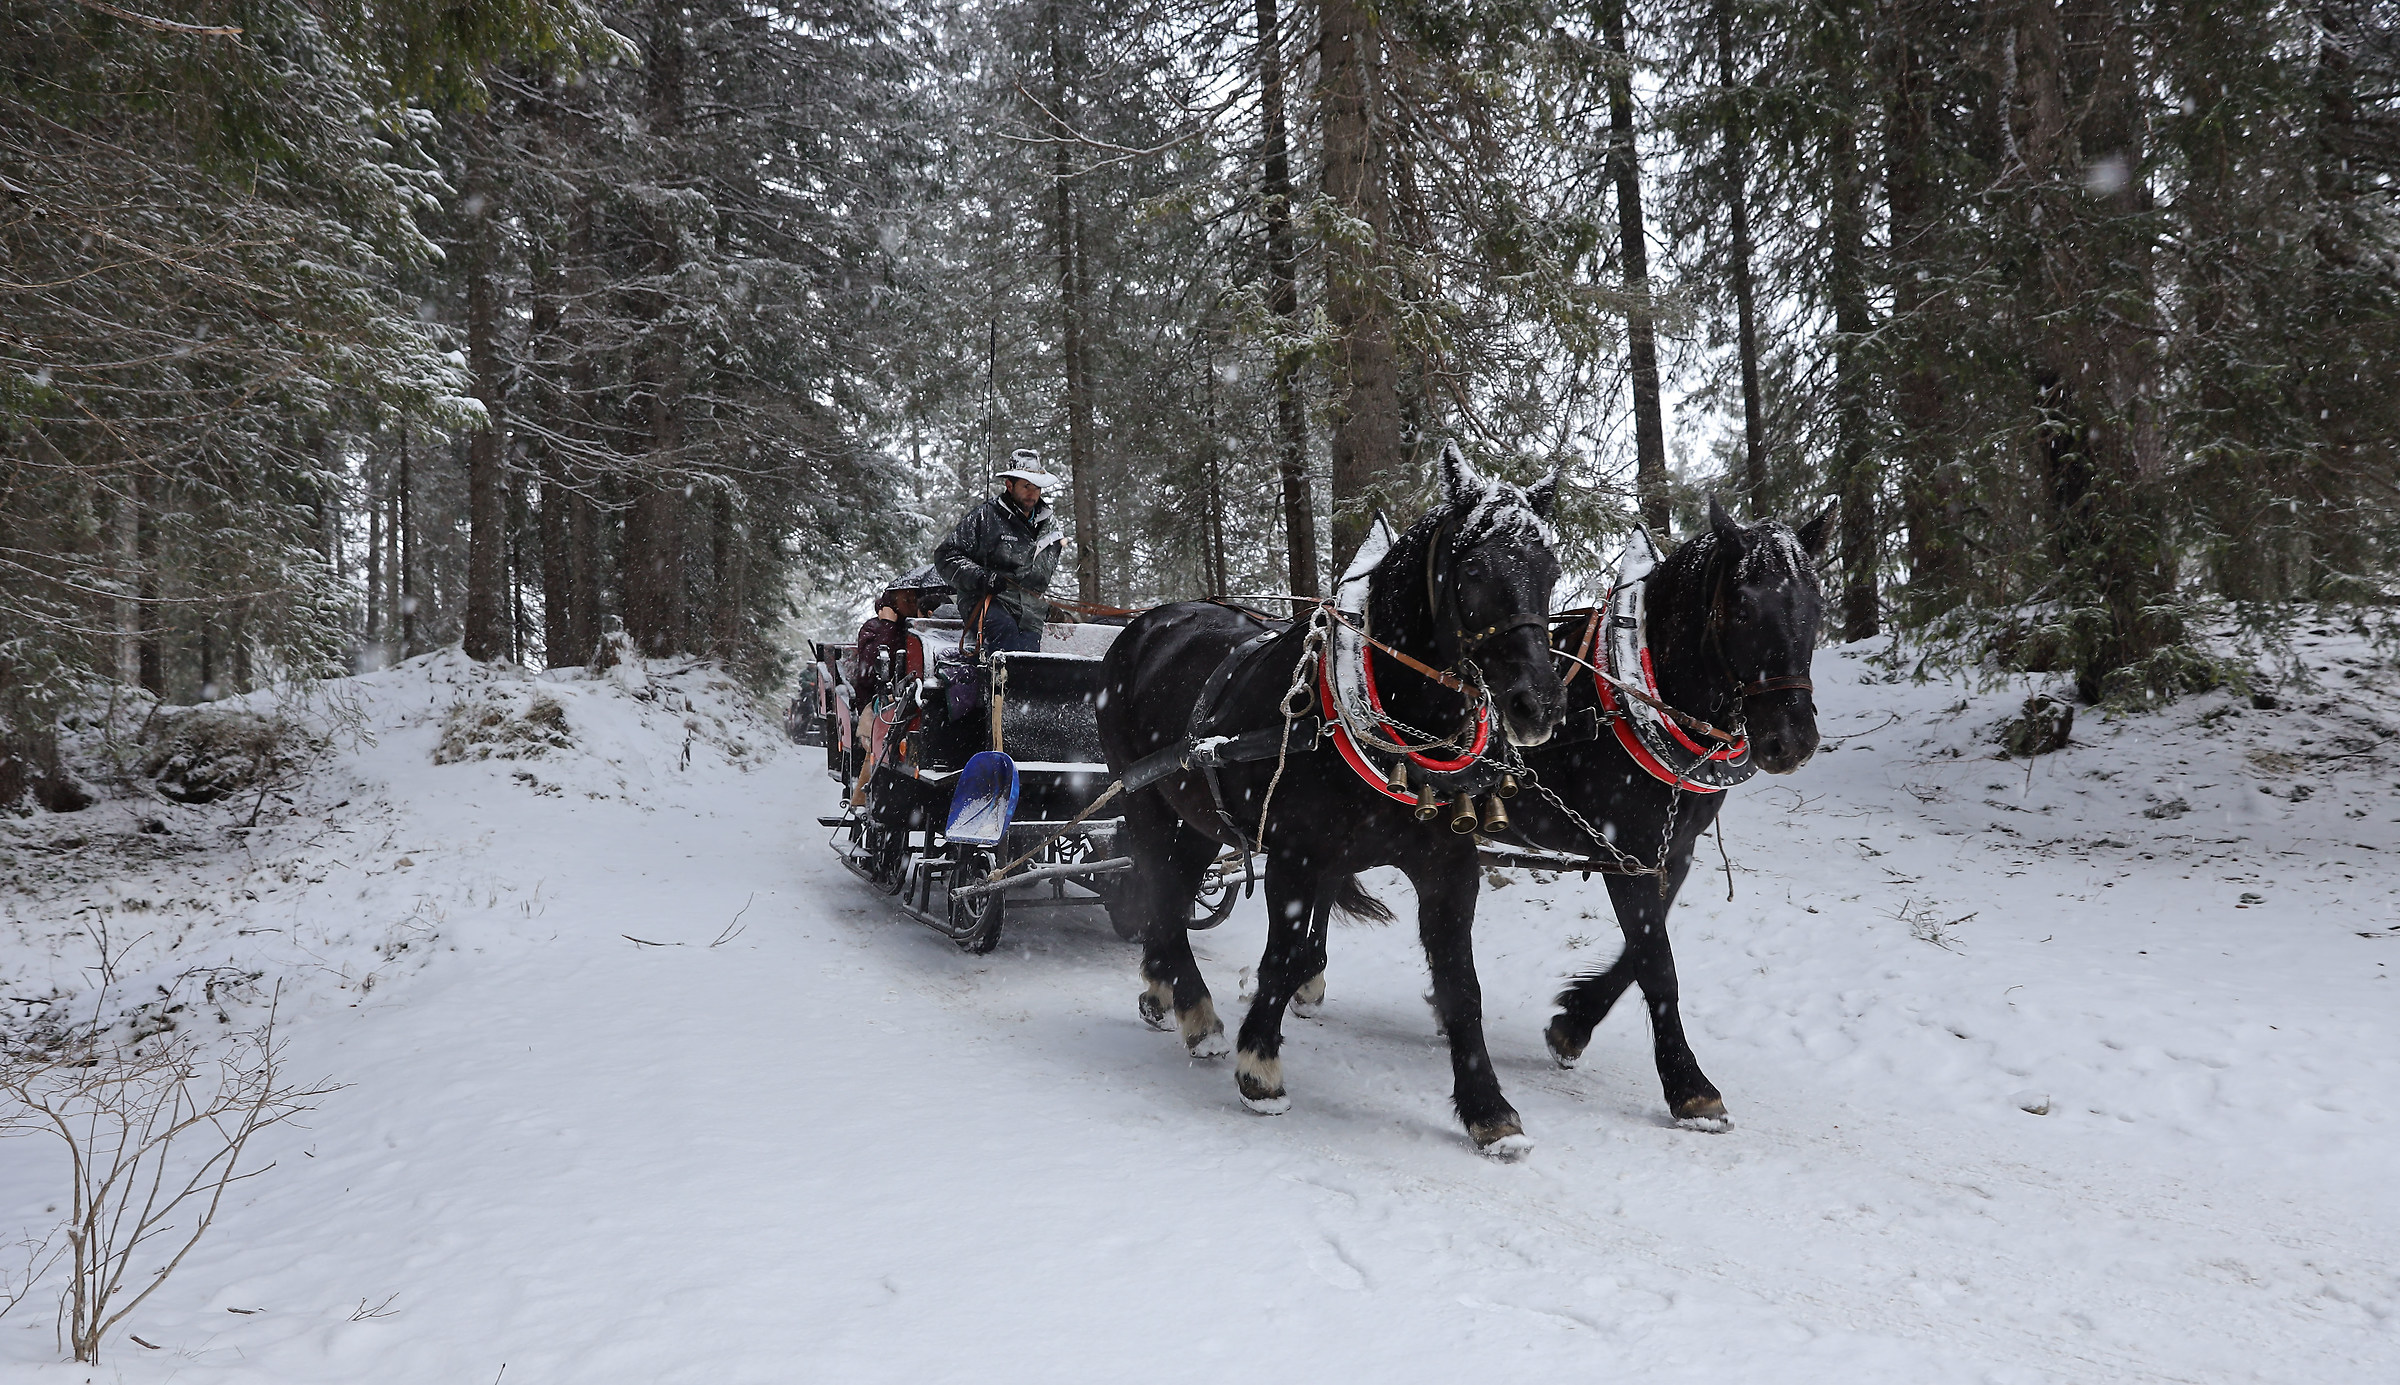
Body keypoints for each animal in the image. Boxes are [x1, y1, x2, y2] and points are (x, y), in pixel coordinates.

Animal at [1096, 444, 1568, 1158]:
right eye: (1475, 567)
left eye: (1551, 568)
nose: (1536, 705)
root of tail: (1145, 624)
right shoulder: (1298, 856)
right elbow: (1287, 952)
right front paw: (1260, 1067)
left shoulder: (1449, 867)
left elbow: (1461, 982)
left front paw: (1490, 1110)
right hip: (1147, 803)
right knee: (1161, 890)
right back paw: (1199, 1013)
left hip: (1196, 819)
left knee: (1171, 895)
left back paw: (1165, 991)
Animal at [1503, 494, 1836, 1130]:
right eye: (1741, 608)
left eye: (1816, 607)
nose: (1791, 743)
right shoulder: (1624, 851)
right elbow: (1657, 963)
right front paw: (1689, 1085)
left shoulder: (1670, 853)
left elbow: (1640, 953)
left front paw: (1573, 1023)